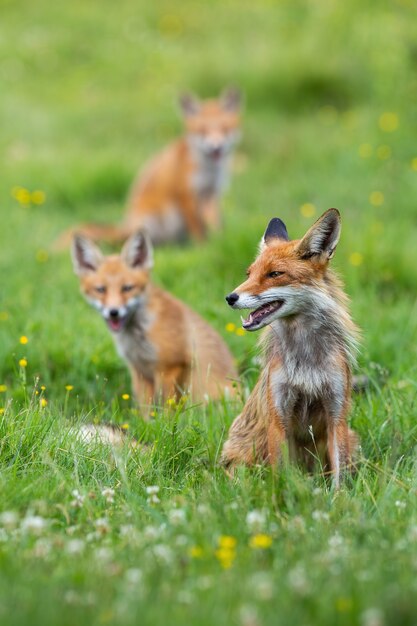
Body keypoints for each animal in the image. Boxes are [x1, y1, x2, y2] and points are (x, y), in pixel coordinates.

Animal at [57, 88, 242, 249]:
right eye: (202, 131)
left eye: (225, 129)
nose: (216, 147)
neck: (209, 170)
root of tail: (126, 223)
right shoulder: (185, 194)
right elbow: (197, 228)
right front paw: (203, 247)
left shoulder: (212, 193)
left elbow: (215, 224)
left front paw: (219, 241)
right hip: (157, 216)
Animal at [71, 227, 237, 412]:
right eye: (101, 290)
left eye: (127, 288)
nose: (113, 312)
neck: (137, 337)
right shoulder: (139, 370)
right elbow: (145, 409)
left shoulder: (170, 366)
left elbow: (165, 407)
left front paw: (165, 420)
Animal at [219, 207, 360, 486]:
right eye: (249, 274)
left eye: (275, 274)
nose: (230, 297)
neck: (306, 362)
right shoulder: (279, 413)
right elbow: (281, 474)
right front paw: (282, 493)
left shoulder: (336, 413)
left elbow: (338, 477)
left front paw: (339, 497)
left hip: (351, 439)